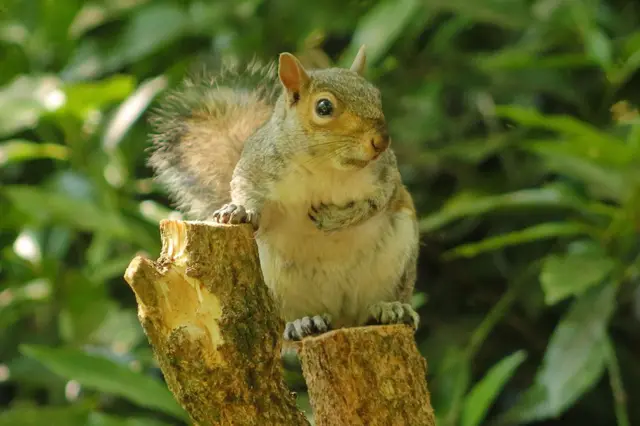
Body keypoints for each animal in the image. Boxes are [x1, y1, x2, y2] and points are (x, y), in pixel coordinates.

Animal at [148, 46, 420, 341]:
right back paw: (303, 322)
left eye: (376, 95)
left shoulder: (386, 176)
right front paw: (238, 210)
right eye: (324, 107)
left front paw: (335, 219)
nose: (381, 141)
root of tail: (341, 319)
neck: (326, 166)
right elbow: (246, 192)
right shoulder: (255, 168)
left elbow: (376, 203)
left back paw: (390, 309)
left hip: (398, 259)